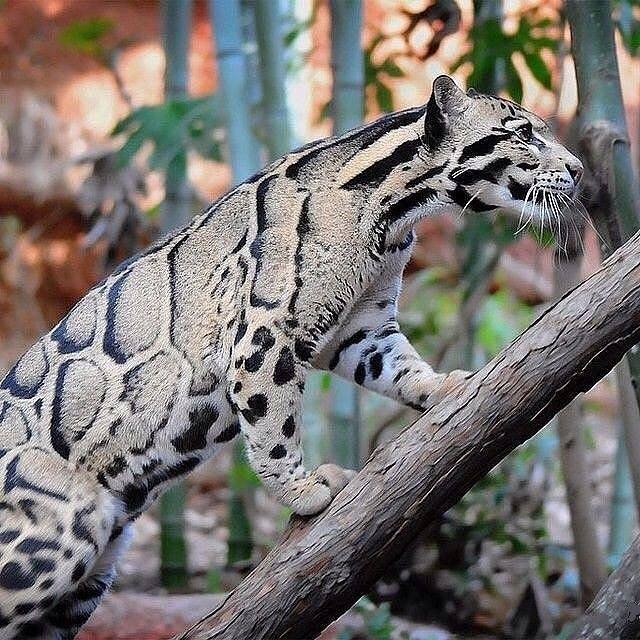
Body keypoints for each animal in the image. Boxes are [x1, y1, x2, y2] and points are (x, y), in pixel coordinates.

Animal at [0, 76, 583, 638]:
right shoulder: (264, 334)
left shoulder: (361, 327)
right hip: (55, 540)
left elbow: (396, 363)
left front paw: (442, 386)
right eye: (523, 133)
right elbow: (273, 427)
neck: (393, 216)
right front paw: (301, 489)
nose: (578, 169)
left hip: (83, 587)